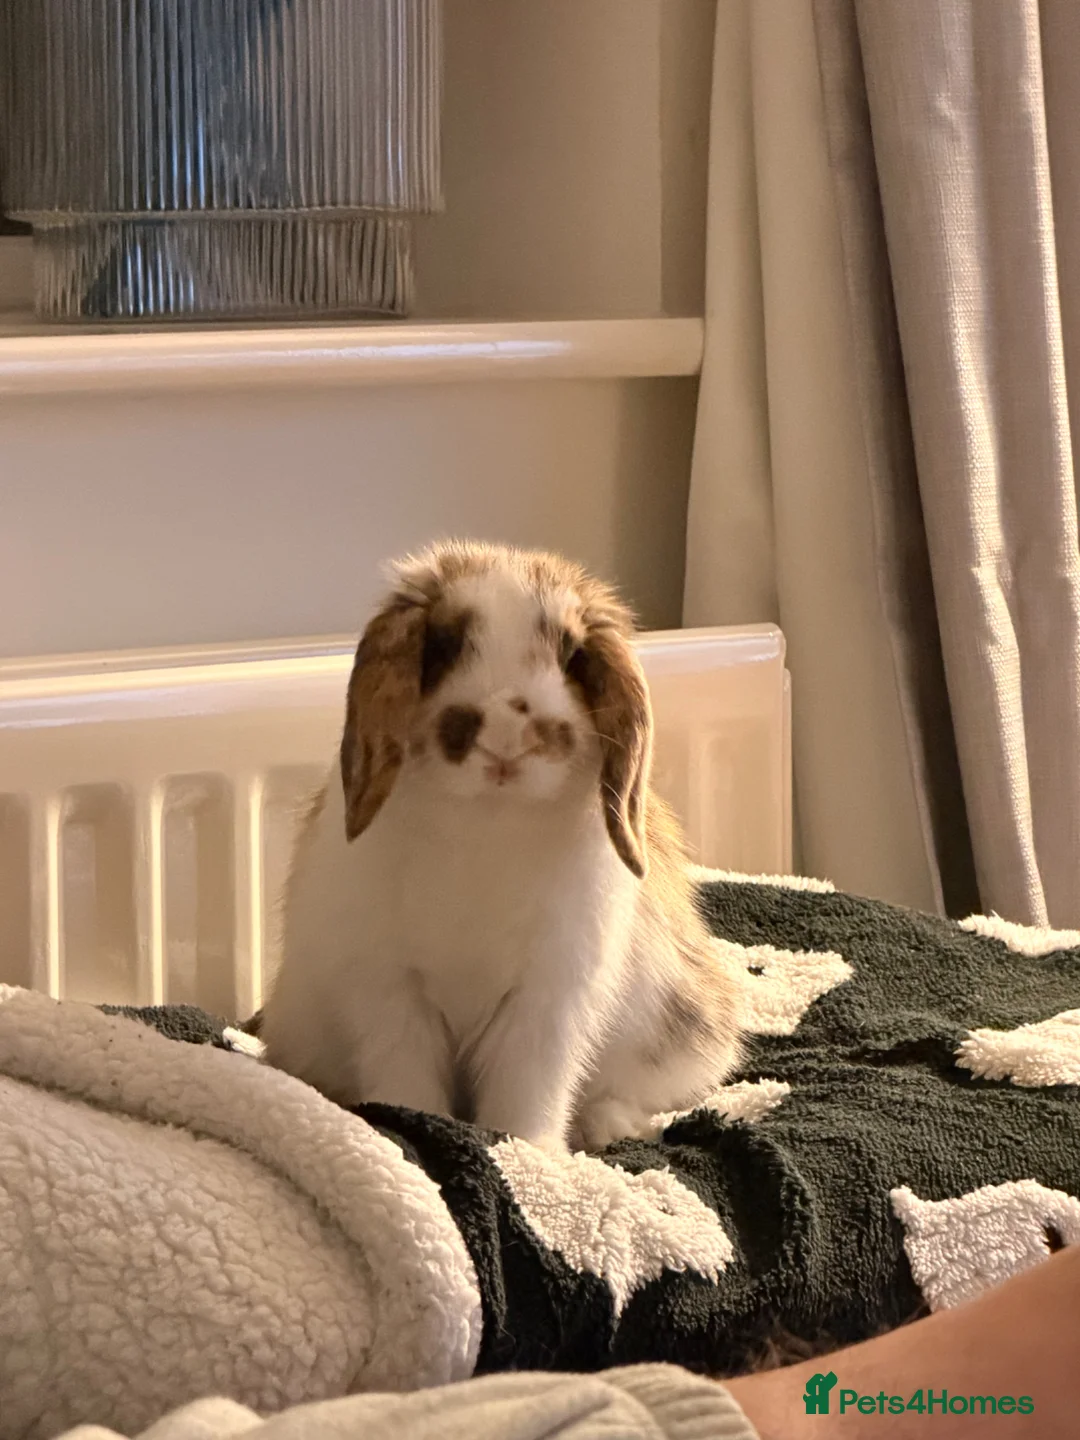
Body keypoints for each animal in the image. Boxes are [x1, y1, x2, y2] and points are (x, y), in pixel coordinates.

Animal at [259, 540, 745, 1151]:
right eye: (443, 645)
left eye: (573, 656)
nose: (506, 732)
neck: (488, 817)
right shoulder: (393, 994)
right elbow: (408, 1081)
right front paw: (414, 1131)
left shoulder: (544, 1001)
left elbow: (526, 1091)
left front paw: (529, 1152)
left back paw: (608, 1128)